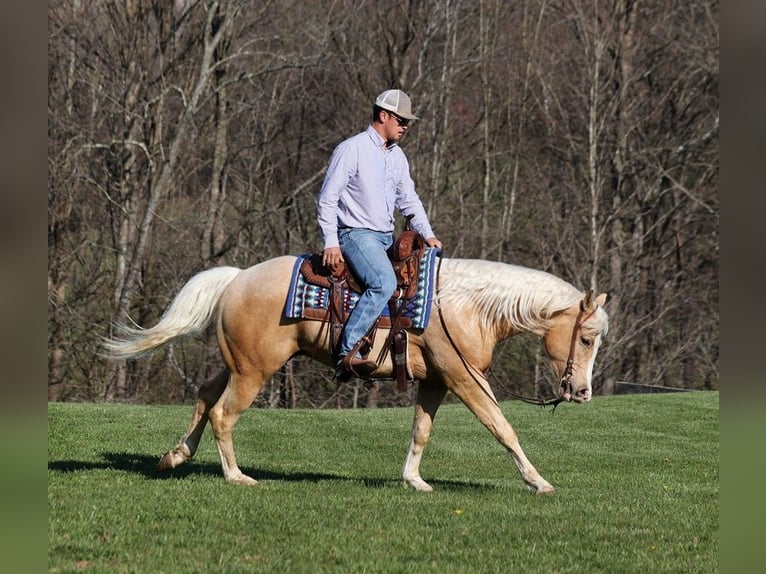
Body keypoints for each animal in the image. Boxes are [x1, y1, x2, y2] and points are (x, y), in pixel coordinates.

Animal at [106, 256, 612, 496]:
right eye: (587, 339)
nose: (583, 392)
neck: (463, 305)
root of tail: (237, 278)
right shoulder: (463, 378)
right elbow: (501, 427)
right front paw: (538, 482)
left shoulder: (434, 381)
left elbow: (421, 430)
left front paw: (414, 480)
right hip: (254, 371)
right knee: (224, 414)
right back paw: (236, 476)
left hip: (237, 364)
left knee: (206, 395)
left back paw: (175, 456)